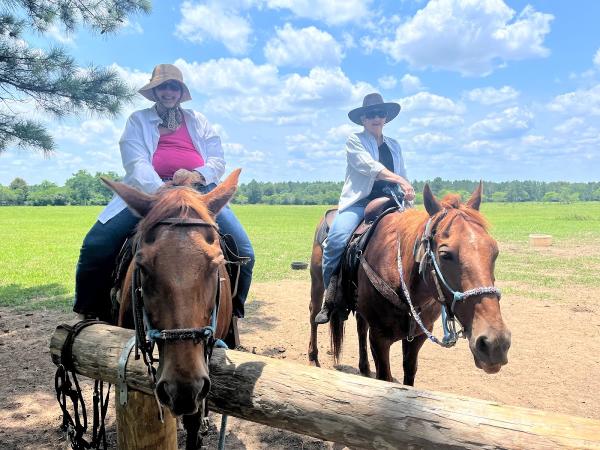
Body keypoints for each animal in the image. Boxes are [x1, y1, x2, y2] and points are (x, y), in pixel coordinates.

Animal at [310, 182, 510, 384]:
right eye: (445, 254)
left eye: (495, 251)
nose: (495, 343)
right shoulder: (379, 338)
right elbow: (385, 376)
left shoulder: (418, 337)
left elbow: (409, 372)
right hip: (317, 283)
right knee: (314, 314)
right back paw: (313, 358)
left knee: (360, 324)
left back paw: (364, 369)